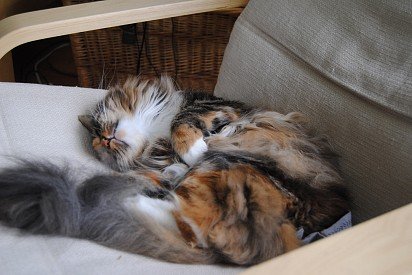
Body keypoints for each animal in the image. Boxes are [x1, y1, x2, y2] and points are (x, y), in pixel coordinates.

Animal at [0, 76, 350, 266]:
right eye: (98, 142)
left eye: (98, 130)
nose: (105, 140)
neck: (152, 135)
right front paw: (192, 149)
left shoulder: (211, 106)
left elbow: (182, 121)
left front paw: (197, 145)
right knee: (190, 224)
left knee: (194, 227)